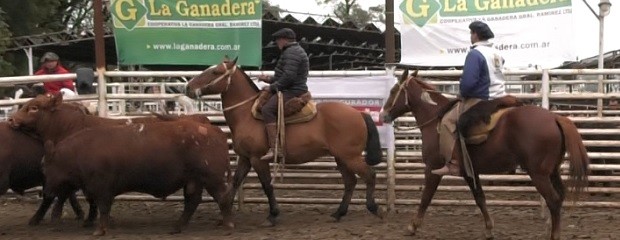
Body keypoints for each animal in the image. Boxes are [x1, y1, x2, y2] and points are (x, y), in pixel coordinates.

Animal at [9, 94, 232, 236]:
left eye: (34, 107)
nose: (11, 119)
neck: (71, 126)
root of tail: (205, 124)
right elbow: (82, 198)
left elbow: (65, 196)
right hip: (193, 180)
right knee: (193, 201)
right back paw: (178, 226)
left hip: (211, 177)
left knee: (221, 197)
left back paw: (226, 224)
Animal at [185, 57, 382, 226]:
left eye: (216, 72)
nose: (187, 87)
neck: (246, 113)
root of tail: (359, 114)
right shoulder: (245, 158)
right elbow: (235, 182)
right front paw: (224, 214)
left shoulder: (258, 158)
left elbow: (267, 185)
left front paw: (272, 215)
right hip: (341, 158)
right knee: (350, 182)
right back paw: (338, 213)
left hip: (350, 157)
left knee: (369, 175)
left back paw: (373, 208)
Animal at [378, 70, 592, 240]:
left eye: (393, 91)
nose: (382, 115)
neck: (435, 121)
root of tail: (555, 117)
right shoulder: (469, 172)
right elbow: (480, 197)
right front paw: (489, 229)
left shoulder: (433, 168)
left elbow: (426, 197)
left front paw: (412, 226)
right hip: (552, 171)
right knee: (559, 198)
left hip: (538, 174)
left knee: (553, 201)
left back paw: (554, 235)